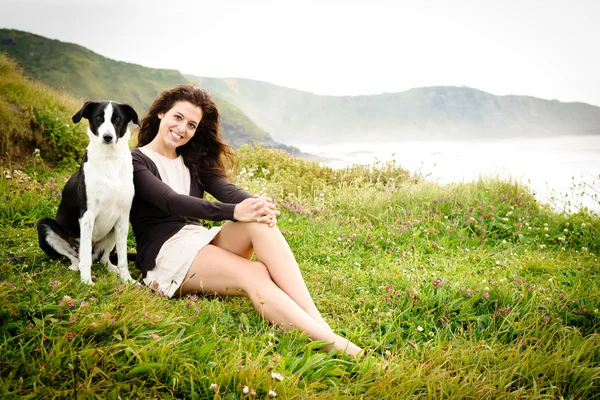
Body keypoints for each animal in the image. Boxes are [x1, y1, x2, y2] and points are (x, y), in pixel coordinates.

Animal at [37, 101, 139, 286]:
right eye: (98, 118)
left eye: (118, 119)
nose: (107, 137)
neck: (109, 159)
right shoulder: (87, 216)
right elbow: (85, 258)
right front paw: (86, 281)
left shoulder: (123, 217)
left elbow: (123, 259)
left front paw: (127, 279)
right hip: (44, 226)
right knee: (76, 256)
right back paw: (75, 267)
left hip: (112, 232)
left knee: (104, 258)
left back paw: (112, 268)